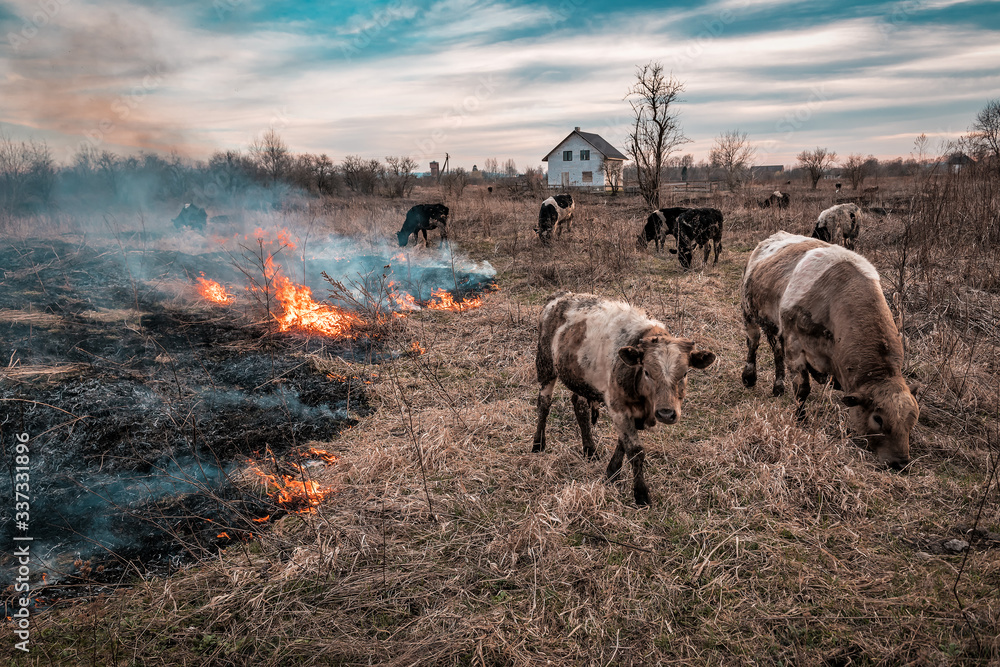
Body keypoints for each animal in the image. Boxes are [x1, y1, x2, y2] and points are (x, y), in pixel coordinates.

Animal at [532, 292, 720, 506]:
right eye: (647, 372)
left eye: (685, 373)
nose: (666, 413)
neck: (645, 402)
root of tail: (559, 298)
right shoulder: (618, 407)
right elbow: (635, 449)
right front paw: (641, 494)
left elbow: (623, 442)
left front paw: (611, 473)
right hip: (545, 364)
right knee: (544, 404)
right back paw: (538, 444)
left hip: (577, 376)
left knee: (579, 406)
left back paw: (589, 449)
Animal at [740, 234, 916, 470]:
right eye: (878, 419)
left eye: (912, 419)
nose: (900, 462)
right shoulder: (795, 344)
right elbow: (802, 389)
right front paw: (800, 419)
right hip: (749, 312)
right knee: (753, 343)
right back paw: (749, 376)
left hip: (775, 328)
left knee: (776, 351)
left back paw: (778, 386)